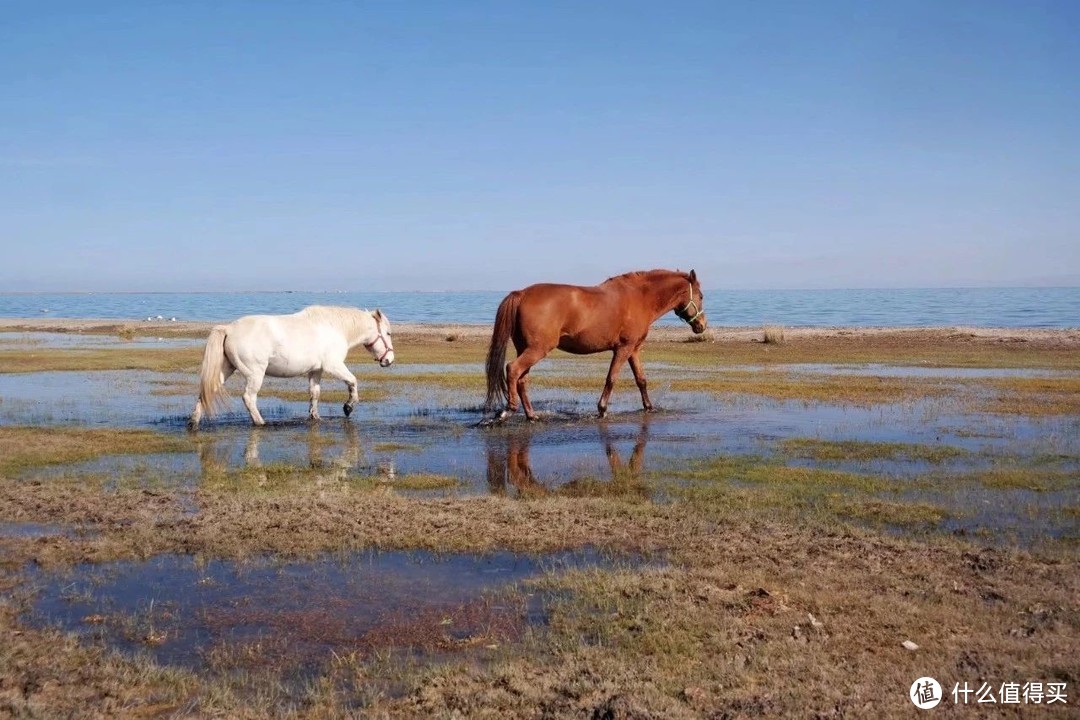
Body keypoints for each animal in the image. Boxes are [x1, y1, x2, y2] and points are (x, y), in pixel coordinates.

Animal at [187, 304, 395, 427]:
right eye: (388, 333)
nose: (389, 360)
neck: (335, 328)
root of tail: (229, 329)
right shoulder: (334, 366)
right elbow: (353, 381)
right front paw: (348, 407)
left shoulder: (316, 370)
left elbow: (314, 394)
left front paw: (314, 417)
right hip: (255, 374)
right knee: (248, 398)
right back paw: (260, 422)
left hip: (226, 369)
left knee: (207, 391)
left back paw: (194, 421)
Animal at [483, 267, 704, 418]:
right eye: (701, 296)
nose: (701, 325)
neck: (640, 298)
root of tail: (521, 294)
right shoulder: (623, 349)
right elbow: (611, 378)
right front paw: (602, 409)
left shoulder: (633, 350)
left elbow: (641, 380)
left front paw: (649, 407)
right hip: (537, 349)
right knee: (513, 369)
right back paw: (508, 410)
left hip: (526, 348)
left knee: (522, 379)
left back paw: (531, 415)